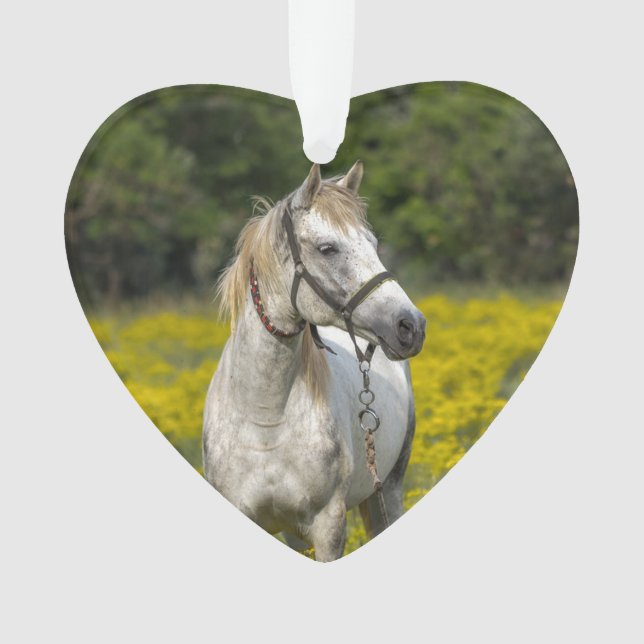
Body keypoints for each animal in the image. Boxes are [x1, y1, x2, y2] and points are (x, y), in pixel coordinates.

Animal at [203, 162, 426, 561]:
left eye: (373, 244)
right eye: (327, 248)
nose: (411, 326)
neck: (265, 418)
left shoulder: (328, 525)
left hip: (388, 490)